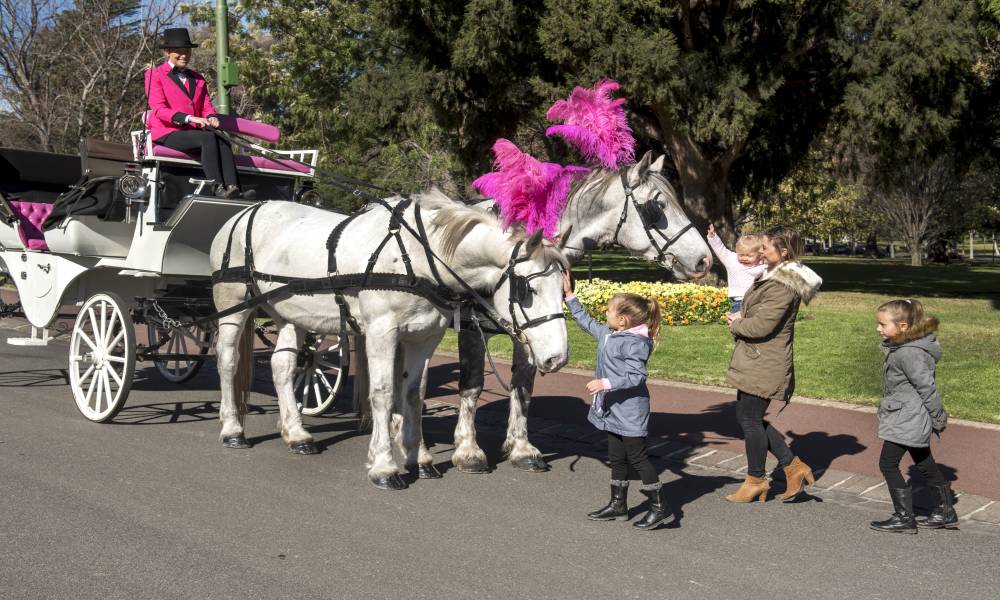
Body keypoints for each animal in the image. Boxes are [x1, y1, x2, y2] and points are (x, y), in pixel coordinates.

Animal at [209, 190, 572, 490]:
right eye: (528, 288)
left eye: (564, 288)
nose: (557, 358)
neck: (419, 257)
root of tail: (246, 211)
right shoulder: (382, 332)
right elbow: (383, 394)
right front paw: (384, 466)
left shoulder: (425, 337)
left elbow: (413, 394)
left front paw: (418, 459)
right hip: (232, 306)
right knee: (227, 361)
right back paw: (232, 430)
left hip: (291, 316)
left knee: (282, 367)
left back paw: (296, 434)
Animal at [450, 150, 716, 474]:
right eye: (658, 206)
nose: (705, 260)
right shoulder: (471, 329)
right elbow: (472, 385)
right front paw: (468, 450)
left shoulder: (532, 331)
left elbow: (523, 385)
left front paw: (522, 448)